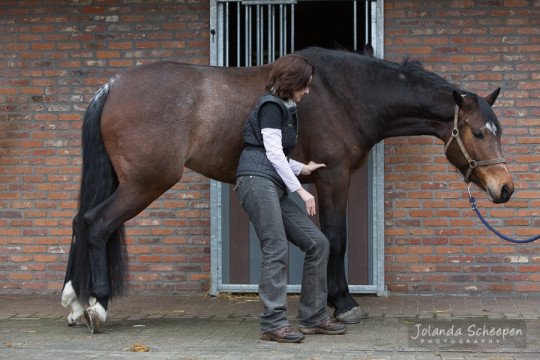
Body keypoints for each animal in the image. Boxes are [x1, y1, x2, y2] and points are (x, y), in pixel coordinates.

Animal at [61, 46, 512, 334]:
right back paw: (96, 307)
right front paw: (344, 305)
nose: (505, 188)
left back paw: (76, 302)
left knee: (80, 222)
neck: (345, 94)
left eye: (498, 131)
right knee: (96, 223)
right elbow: (336, 239)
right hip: (146, 182)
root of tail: (112, 87)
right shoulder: (333, 178)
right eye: (477, 132)